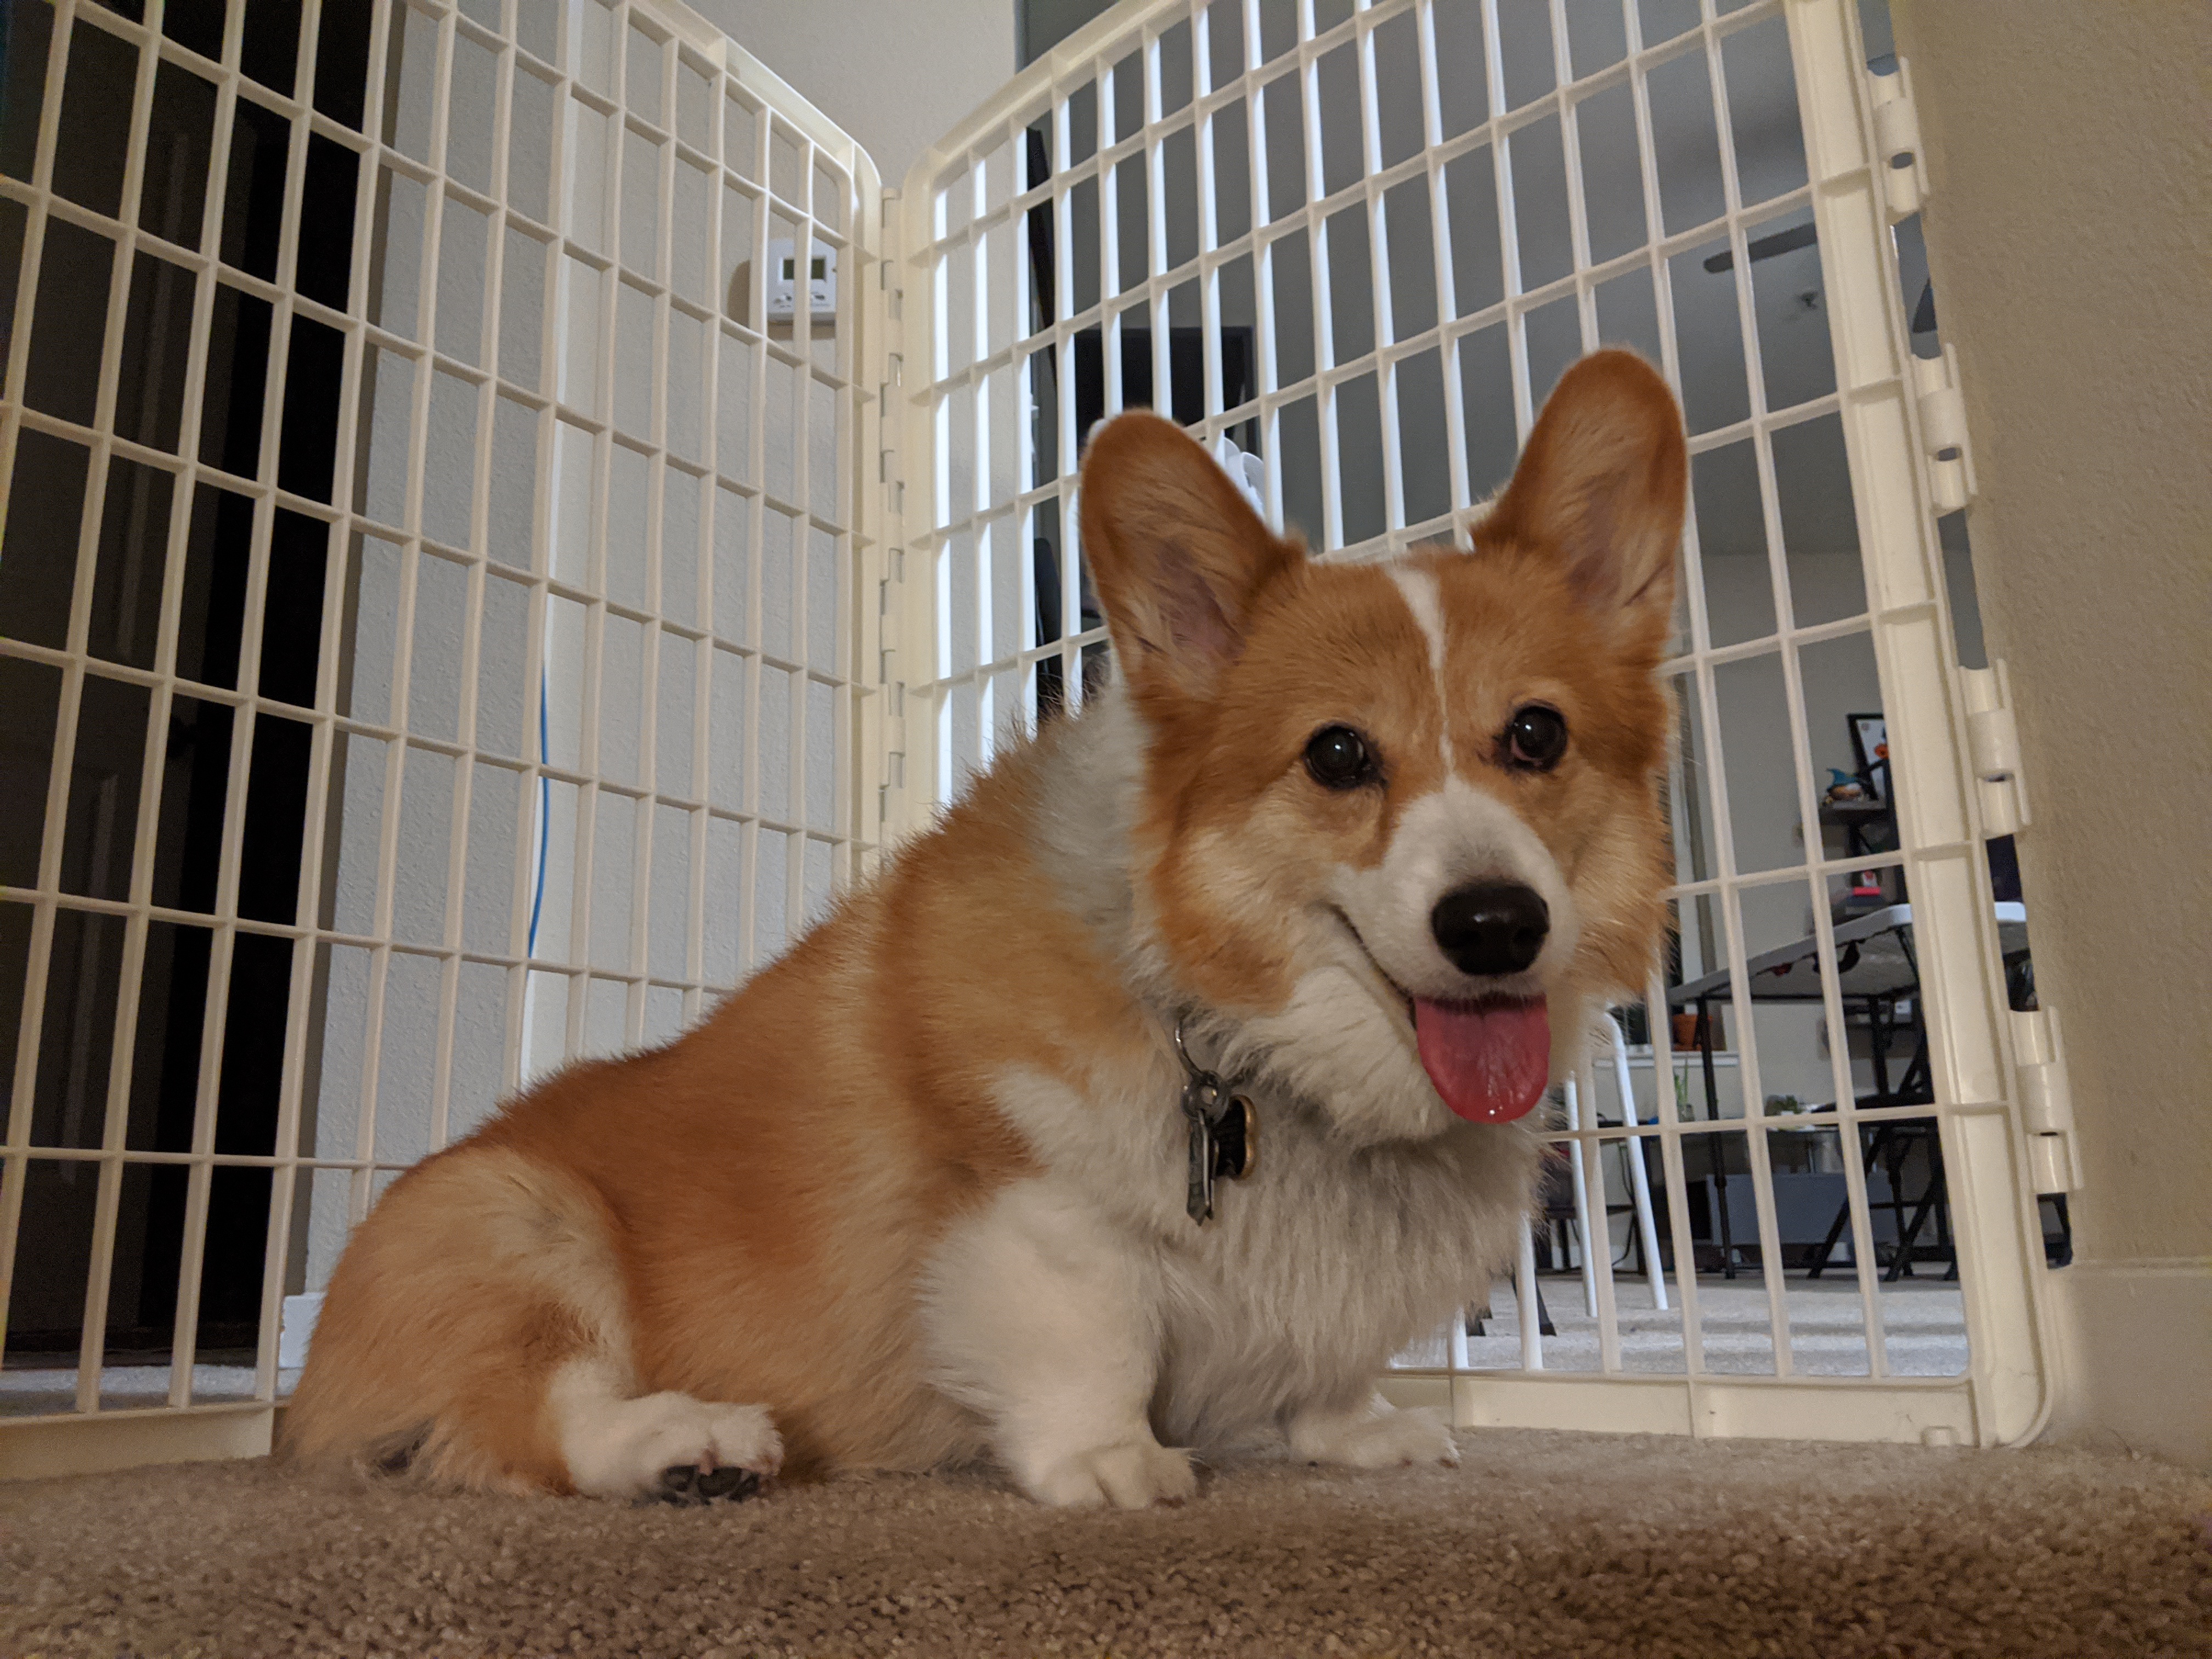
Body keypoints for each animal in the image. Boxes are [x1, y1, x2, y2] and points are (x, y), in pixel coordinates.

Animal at [285, 347, 1681, 1504]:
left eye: (1537, 735)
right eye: (1338, 755)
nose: (1496, 925)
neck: (1231, 1032)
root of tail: (302, 1387)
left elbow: (1324, 1368)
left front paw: (1356, 1431)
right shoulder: (1032, 1215)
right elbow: (1093, 1334)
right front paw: (1116, 1465)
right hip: (508, 1219)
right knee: (528, 1415)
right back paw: (689, 1441)